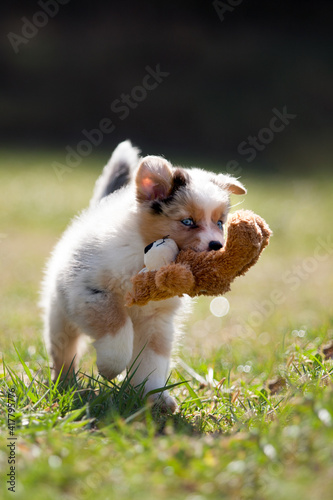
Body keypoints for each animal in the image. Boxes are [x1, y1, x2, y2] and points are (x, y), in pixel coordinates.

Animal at [40, 140, 245, 410]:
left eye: (220, 223)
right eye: (188, 221)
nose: (217, 246)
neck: (142, 254)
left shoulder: (156, 321)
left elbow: (152, 361)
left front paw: (154, 397)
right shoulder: (90, 293)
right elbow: (117, 327)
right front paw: (111, 367)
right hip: (59, 315)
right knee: (64, 352)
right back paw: (64, 385)